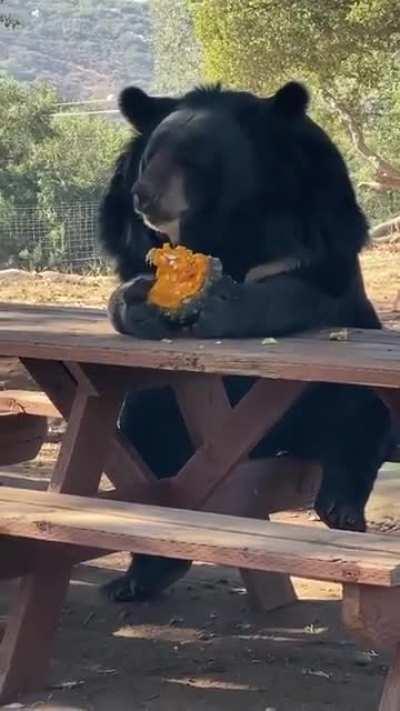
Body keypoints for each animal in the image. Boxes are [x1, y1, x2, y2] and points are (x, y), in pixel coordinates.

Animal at [98, 81, 393, 602]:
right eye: (150, 156)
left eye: (192, 158)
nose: (143, 195)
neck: (226, 225)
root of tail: (270, 446)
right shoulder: (132, 238)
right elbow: (132, 278)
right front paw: (142, 302)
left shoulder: (317, 218)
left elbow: (304, 287)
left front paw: (221, 302)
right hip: (169, 408)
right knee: (147, 430)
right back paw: (138, 576)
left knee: (358, 411)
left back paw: (341, 505)